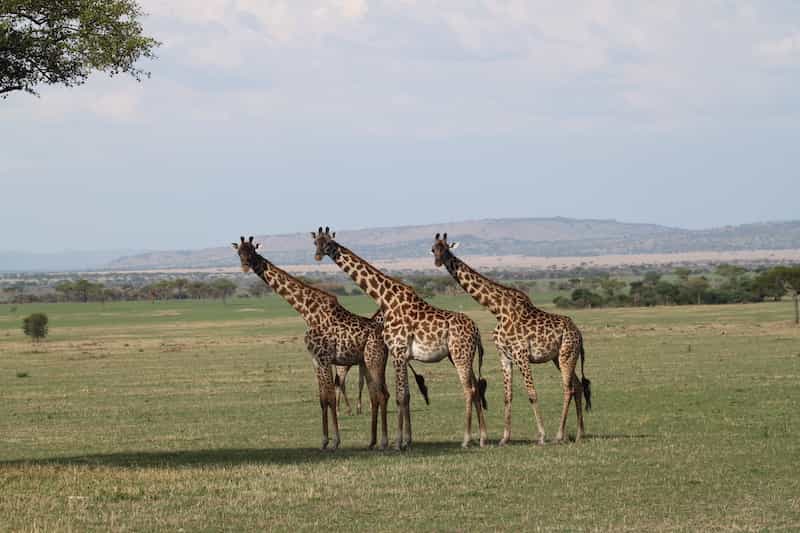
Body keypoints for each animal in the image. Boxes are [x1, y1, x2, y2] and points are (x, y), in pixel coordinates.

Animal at [232, 235, 391, 450]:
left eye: (252, 252)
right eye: (239, 252)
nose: (245, 266)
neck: (306, 311)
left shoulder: (324, 358)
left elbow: (330, 398)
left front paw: (336, 442)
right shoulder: (315, 360)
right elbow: (323, 399)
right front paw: (324, 441)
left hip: (374, 360)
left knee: (381, 395)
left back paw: (384, 441)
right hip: (366, 362)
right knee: (377, 395)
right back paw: (372, 441)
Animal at [312, 227, 487, 450]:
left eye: (327, 243)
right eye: (315, 242)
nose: (317, 255)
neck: (386, 300)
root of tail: (477, 330)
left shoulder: (398, 351)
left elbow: (399, 396)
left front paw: (397, 443)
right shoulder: (401, 355)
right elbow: (406, 395)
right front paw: (407, 440)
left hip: (460, 356)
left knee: (469, 390)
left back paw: (466, 439)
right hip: (461, 356)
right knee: (476, 389)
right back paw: (482, 437)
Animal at [431, 233, 591, 445]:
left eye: (446, 249)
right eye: (433, 249)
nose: (437, 262)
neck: (498, 310)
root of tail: (579, 334)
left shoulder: (521, 354)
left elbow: (532, 393)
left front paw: (541, 436)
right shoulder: (505, 356)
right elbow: (508, 396)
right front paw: (504, 438)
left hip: (567, 354)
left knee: (568, 389)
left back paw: (559, 435)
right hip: (559, 358)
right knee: (578, 386)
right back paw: (580, 434)